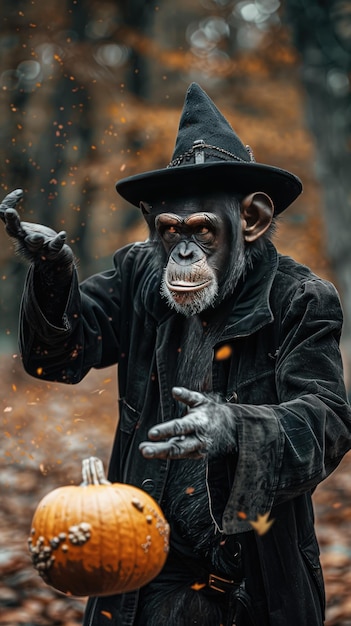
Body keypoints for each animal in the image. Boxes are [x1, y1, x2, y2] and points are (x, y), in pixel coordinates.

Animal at [2, 84, 351, 624]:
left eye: (202, 229)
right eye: (169, 229)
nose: (184, 253)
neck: (230, 296)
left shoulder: (321, 308)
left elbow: (321, 408)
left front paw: (216, 427)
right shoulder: (129, 269)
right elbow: (69, 346)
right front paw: (44, 248)